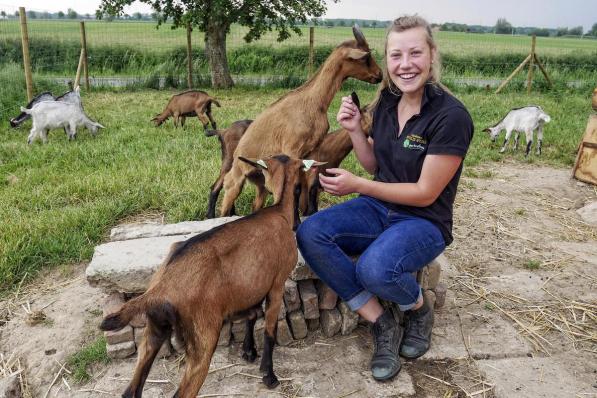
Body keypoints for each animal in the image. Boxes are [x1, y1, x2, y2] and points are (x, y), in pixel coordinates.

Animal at [219, 25, 382, 218]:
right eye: (366, 57)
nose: (379, 75)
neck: (312, 101)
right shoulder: (292, 149)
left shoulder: (312, 152)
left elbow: (308, 186)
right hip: (237, 176)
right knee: (227, 195)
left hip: (260, 182)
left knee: (256, 204)